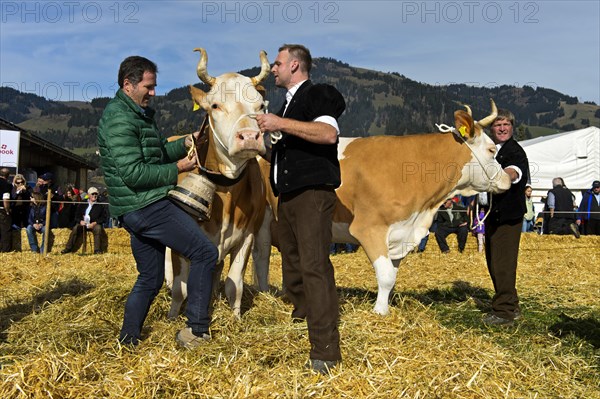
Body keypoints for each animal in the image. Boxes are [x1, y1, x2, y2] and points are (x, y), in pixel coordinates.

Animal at [165, 48, 270, 320]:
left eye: (260, 106)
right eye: (215, 105)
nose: (249, 137)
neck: (227, 190)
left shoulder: (247, 235)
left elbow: (235, 284)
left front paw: (235, 319)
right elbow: (181, 288)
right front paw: (172, 317)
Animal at [253, 99, 510, 316]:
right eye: (491, 150)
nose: (509, 179)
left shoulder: (400, 233)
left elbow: (392, 276)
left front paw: (384, 307)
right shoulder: (369, 228)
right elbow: (385, 275)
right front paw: (379, 312)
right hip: (264, 220)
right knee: (261, 254)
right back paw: (265, 291)